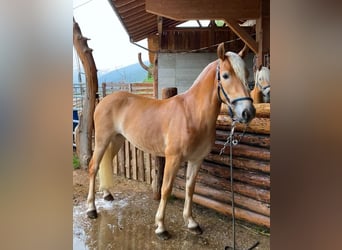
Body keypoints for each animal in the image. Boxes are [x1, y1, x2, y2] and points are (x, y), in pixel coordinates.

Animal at [87, 43, 255, 240]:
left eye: (247, 74)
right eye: (226, 75)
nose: (248, 112)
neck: (192, 114)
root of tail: (103, 100)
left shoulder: (196, 160)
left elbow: (190, 188)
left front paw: (191, 223)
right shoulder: (173, 159)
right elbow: (166, 189)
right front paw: (161, 227)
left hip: (116, 141)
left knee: (103, 164)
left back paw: (106, 194)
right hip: (102, 140)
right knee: (93, 167)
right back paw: (91, 209)